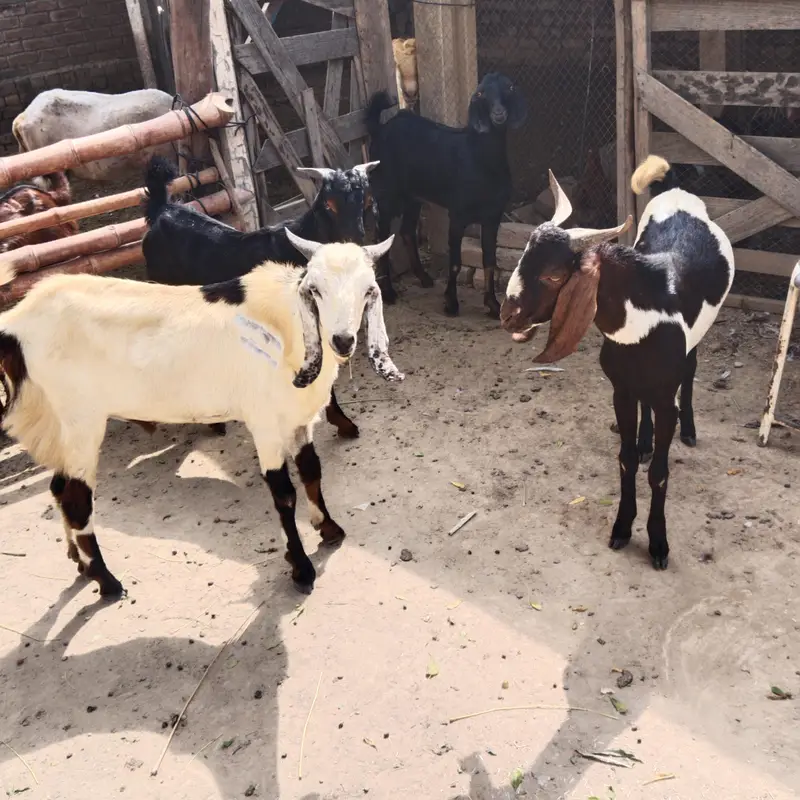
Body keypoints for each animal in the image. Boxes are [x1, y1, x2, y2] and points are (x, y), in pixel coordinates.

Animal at [0, 233, 402, 597]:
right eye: (314, 289)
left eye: (368, 290)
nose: (342, 340)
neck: (285, 330)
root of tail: (15, 324)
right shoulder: (265, 424)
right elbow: (284, 494)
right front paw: (301, 568)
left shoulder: (298, 421)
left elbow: (312, 472)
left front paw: (328, 527)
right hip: (80, 421)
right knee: (76, 499)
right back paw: (108, 582)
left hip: (60, 425)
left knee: (58, 487)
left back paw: (79, 562)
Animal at [365, 72, 527, 318]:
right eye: (481, 93)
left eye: (509, 88)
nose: (499, 114)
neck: (480, 159)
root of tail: (380, 129)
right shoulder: (458, 214)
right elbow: (455, 262)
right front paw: (451, 303)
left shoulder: (493, 216)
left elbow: (490, 260)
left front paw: (492, 304)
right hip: (386, 194)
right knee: (381, 237)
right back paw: (389, 292)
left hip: (413, 197)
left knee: (406, 231)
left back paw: (423, 277)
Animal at [499, 156, 734, 571]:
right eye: (523, 258)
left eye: (554, 275)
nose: (507, 316)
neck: (644, 317)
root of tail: (676, 189)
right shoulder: (620, 390)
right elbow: (625, 460)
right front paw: (623, 527)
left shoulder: (665, 398)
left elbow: (659, 473)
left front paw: (658, 544)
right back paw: (644, 441)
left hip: (696, 340)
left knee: (691, 369)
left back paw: (689, 431)